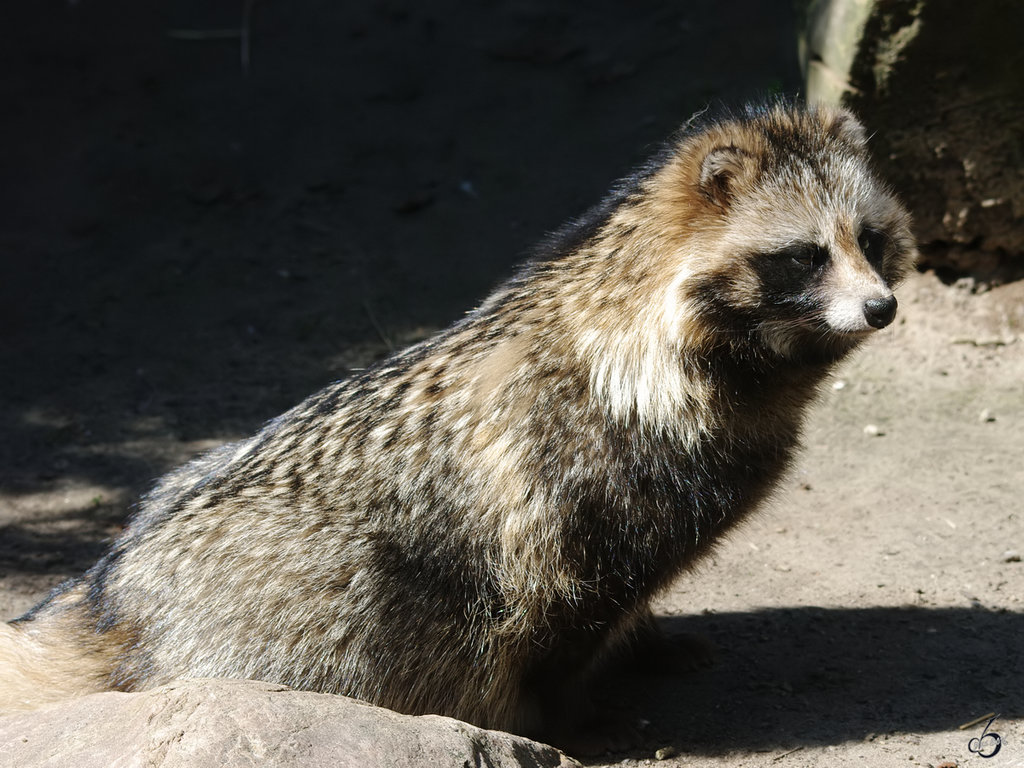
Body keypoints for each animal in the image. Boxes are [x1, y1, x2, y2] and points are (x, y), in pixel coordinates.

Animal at [0, 100, 913, 753]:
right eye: (803, 256)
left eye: (869, 240)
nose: (882, 308)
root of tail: (109, 595)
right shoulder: (567, 507)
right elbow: (554, 618)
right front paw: (568, 716)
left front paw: (646, 639)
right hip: (305, 607)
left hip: (185, 474)